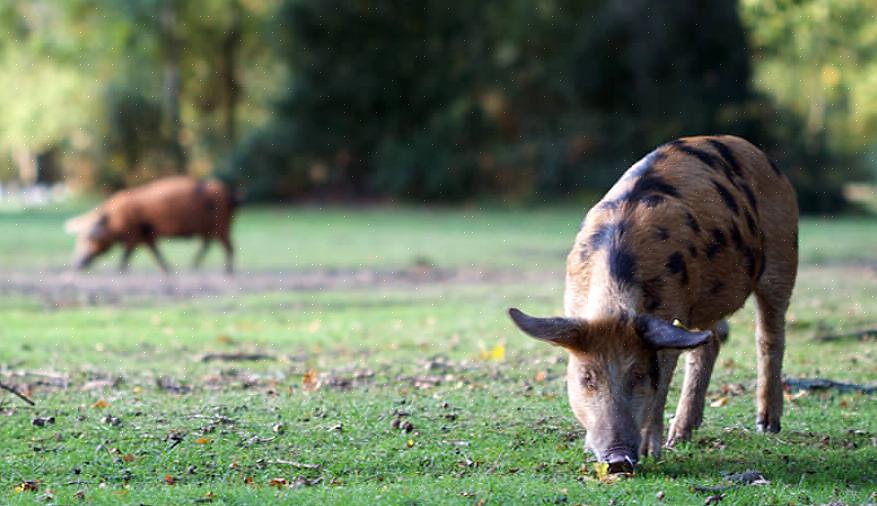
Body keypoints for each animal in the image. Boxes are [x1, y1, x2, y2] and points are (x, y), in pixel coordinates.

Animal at [65, 177, 236, 272]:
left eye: (88, 238)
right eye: (79, 238)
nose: (75, 265)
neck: (114, 220)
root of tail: (229, 194)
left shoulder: (134, 233)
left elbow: (127, 253)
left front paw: (120, 270)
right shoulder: (146, 234)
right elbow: (155, 252)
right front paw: (167, 269)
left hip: (221, 224)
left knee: (228, 246)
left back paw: (227, 271)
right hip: (210, 228)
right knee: (207, 245)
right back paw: (193, 267)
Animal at [510, 135, 796, 474]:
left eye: (638, 375)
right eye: (586, 378)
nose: (618, 461)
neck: (614, 306)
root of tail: (761, 156)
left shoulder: (669, 314)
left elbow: (663, 379)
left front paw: (650, 452)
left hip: (782, 256)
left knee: (769, 337)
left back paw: (766, 426)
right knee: (710, 342)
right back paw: (681, 437)